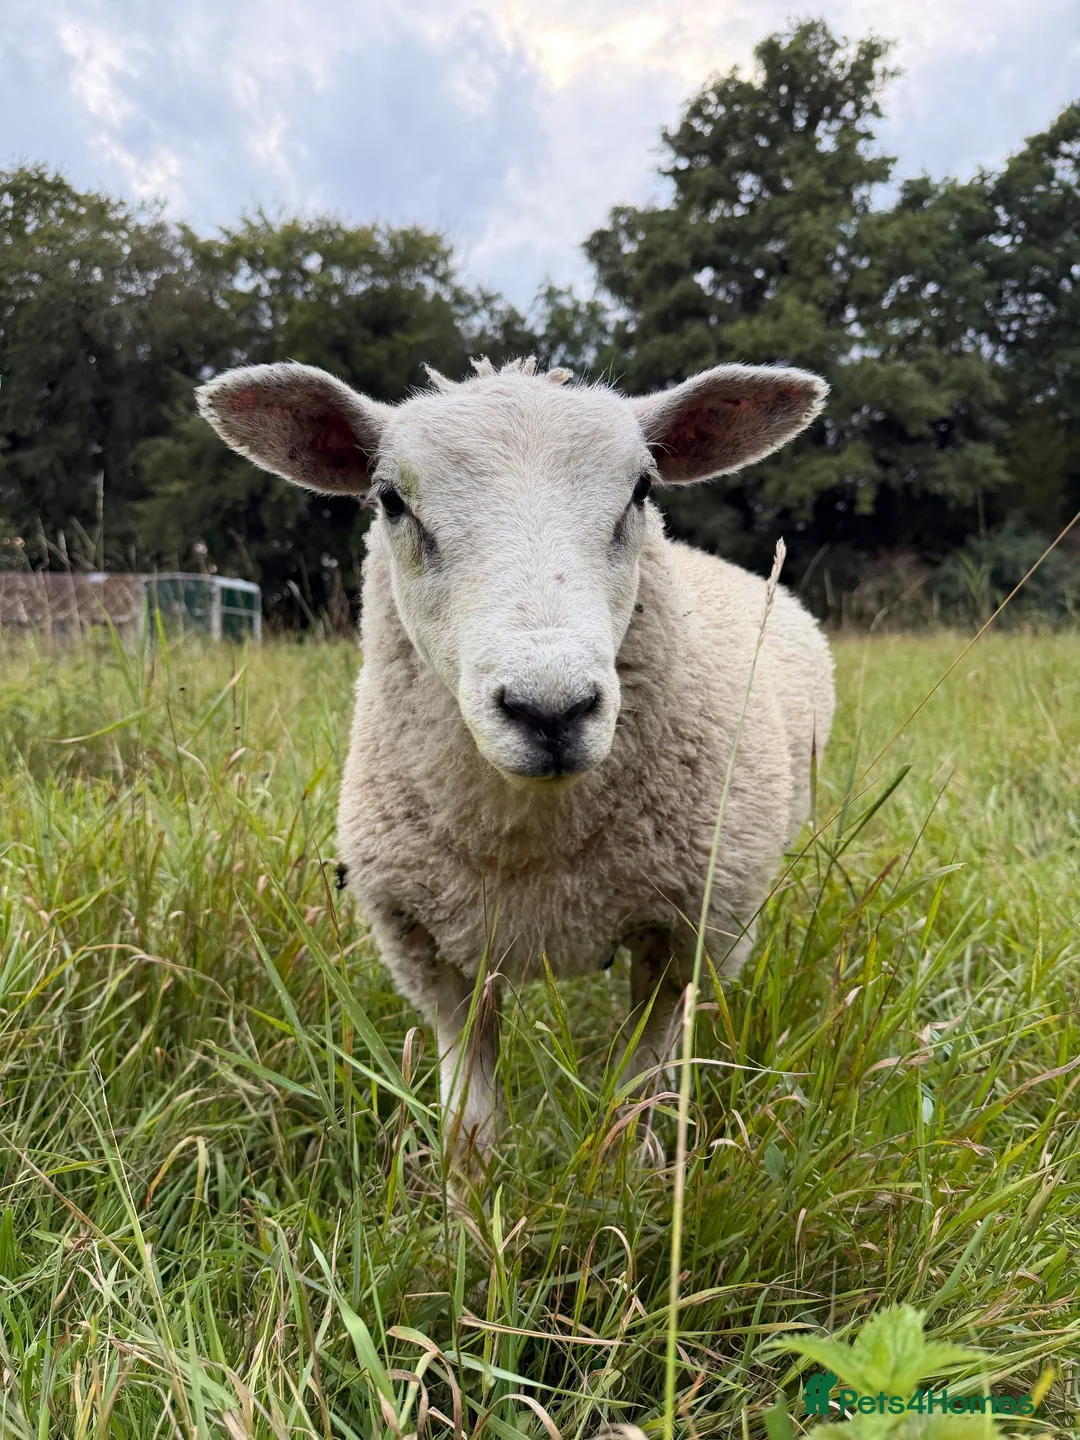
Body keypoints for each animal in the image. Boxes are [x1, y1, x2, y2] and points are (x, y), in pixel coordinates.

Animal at [197, 355, 835, 1160]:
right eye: (392, 500)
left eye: (641, 490)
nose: (550, 709)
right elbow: (468, 1119)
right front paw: (465, 1192)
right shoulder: (425, 945)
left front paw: (626, 1174)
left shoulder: (692, 938)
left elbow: (637, 1093)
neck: (534, 849)